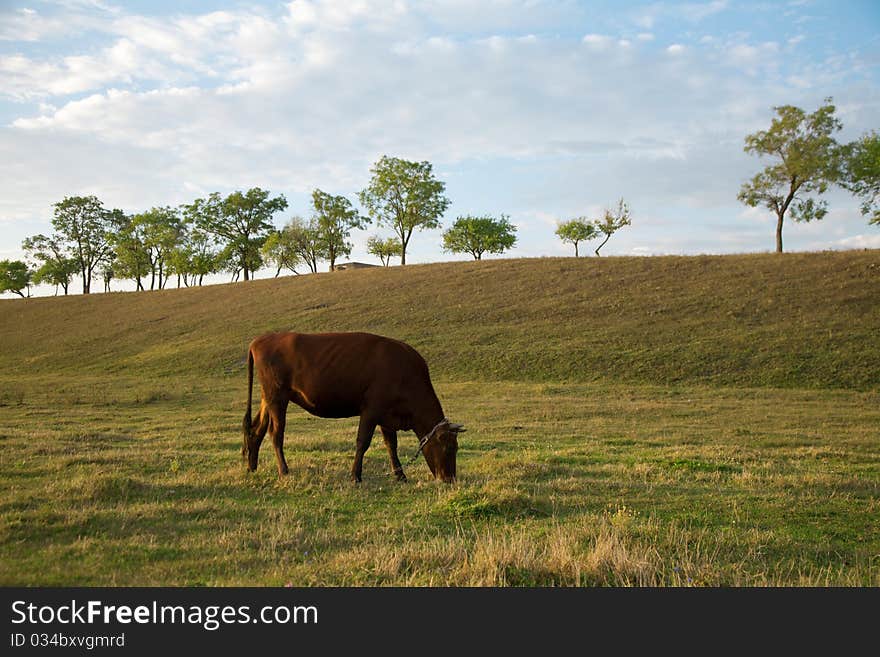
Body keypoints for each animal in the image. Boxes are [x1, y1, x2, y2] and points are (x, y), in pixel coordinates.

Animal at [237, 334, 464, 482]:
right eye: (449, 448)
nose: (450, 479)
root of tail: (260, 340)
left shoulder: (387, 416)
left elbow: (391, 445)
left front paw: (400, 475)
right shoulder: (371, 410)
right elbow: (362, 442)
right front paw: (356, 476)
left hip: (268, 398)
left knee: (256, 429)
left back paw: (252, 467)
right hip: (277, 398)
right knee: (276, 433)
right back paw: (284, 471)